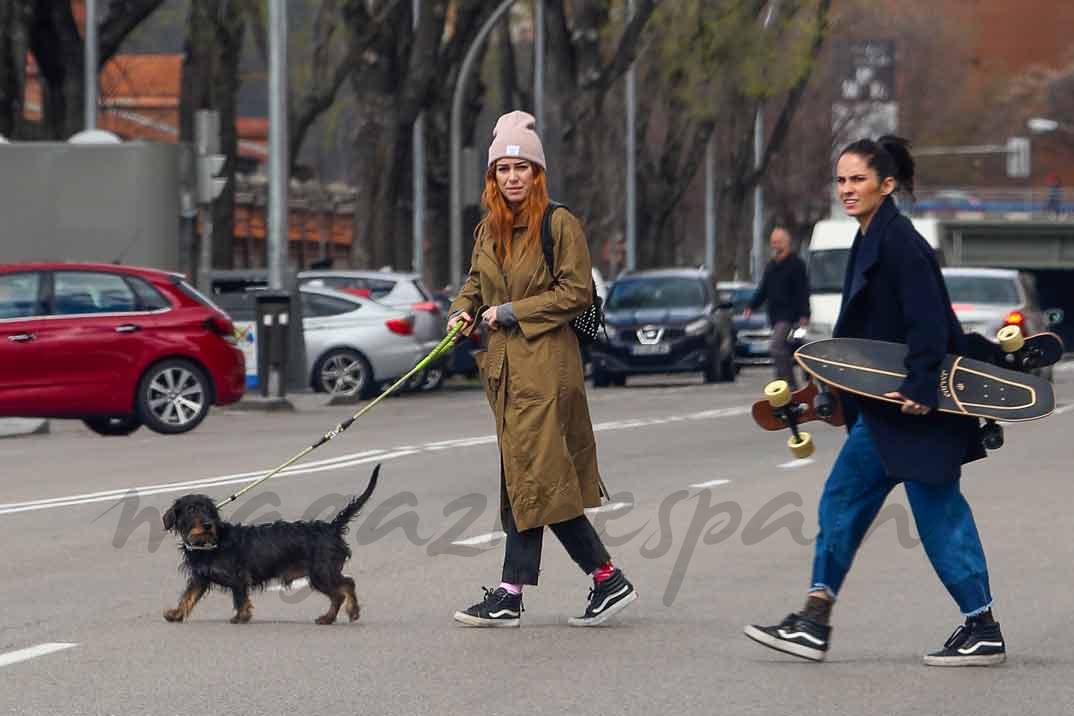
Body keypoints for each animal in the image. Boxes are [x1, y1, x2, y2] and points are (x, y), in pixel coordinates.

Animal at [158, 461, 378, 622]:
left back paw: (350, 612)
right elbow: (188, 596)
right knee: (340, 592)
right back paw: (329, 618)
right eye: (191, 509)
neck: (208, 544)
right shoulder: (200, 578)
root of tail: (331, 528)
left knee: (346, 586)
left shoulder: (238, 576)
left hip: (321, 573)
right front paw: (176, 614)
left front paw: (241, 616)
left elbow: (240, 598)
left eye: (209, 511)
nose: (207, 524)